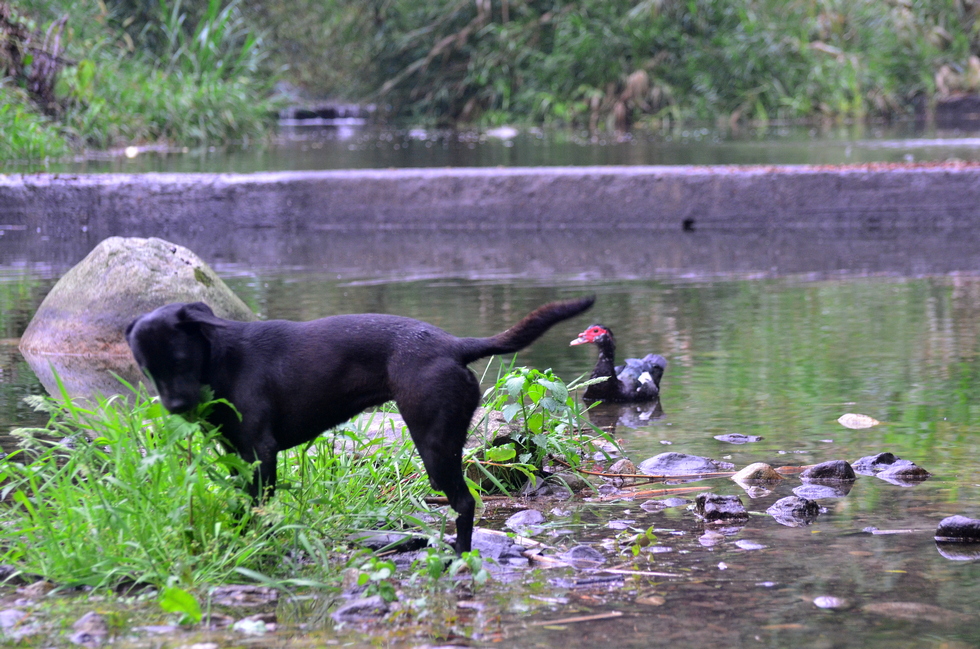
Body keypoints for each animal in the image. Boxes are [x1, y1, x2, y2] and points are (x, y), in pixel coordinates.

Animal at [126, 294, 592, 552]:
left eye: (180, 360)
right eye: (145, 367)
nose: (175, 405)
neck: (222, 361)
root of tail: (455, 345)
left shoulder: (261, 452)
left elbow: (260, 507)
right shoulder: (239, 455)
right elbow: (243, 503)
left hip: (434, 448)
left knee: (464, 504)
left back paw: (458, 554)